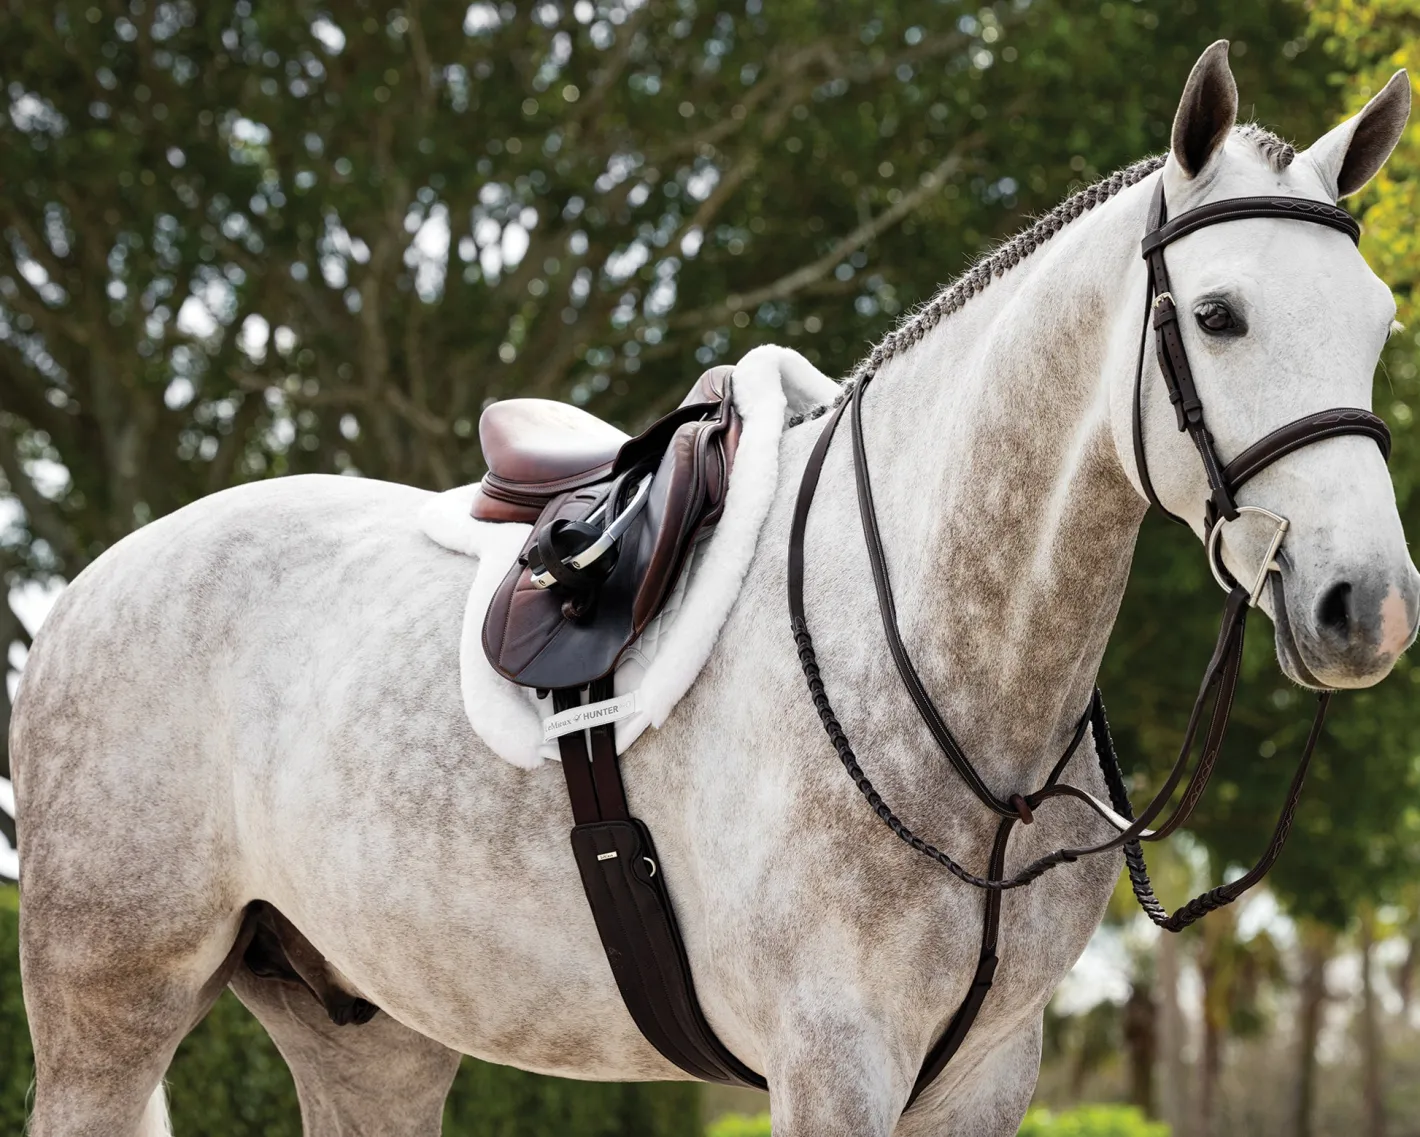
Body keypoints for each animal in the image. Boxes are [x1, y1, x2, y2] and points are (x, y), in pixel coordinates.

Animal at [12, 42, 1417, 1137]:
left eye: (1378, 322)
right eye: (1220, 315)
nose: (1368, 606)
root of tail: (89, 586)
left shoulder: (986, 1075)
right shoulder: (831, 1060)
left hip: (369, 1035)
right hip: (108, 1015)